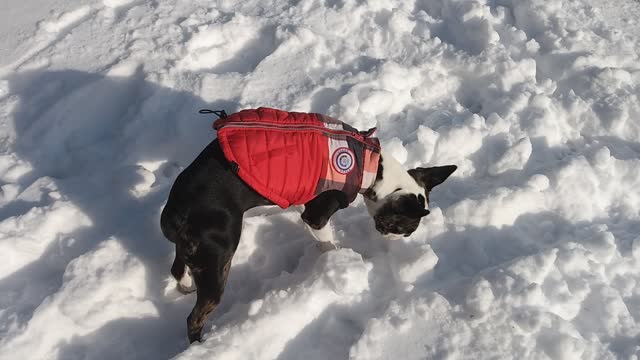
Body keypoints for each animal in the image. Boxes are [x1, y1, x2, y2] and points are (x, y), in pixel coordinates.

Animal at [162, 113, 458, 344]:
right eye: (404, 229)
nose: (397, 239)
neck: (375, 170)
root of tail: (178, 210)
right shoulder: (317, 214)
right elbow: (327, 241)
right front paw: (336, 257)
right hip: (218, 258)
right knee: (195, 316)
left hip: (194, 249)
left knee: (177, 268)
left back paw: (186, 287)